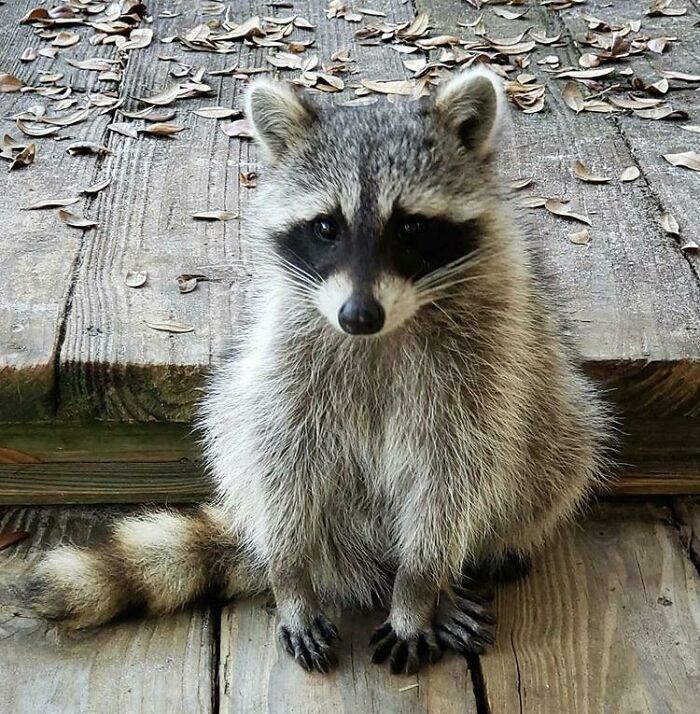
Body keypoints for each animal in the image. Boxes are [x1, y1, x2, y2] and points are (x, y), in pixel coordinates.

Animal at [26, 69, 611, 676]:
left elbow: (455, 476)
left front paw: (419, 588)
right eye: (326, 227)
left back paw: (449, 577)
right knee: (243, 440)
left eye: (410, 228)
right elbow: (278, 458)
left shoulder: (487, 360)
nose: (358, 316)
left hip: (550, 406)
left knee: (562, 445)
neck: (384, 331)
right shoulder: (287, 352)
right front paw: (291, 580)